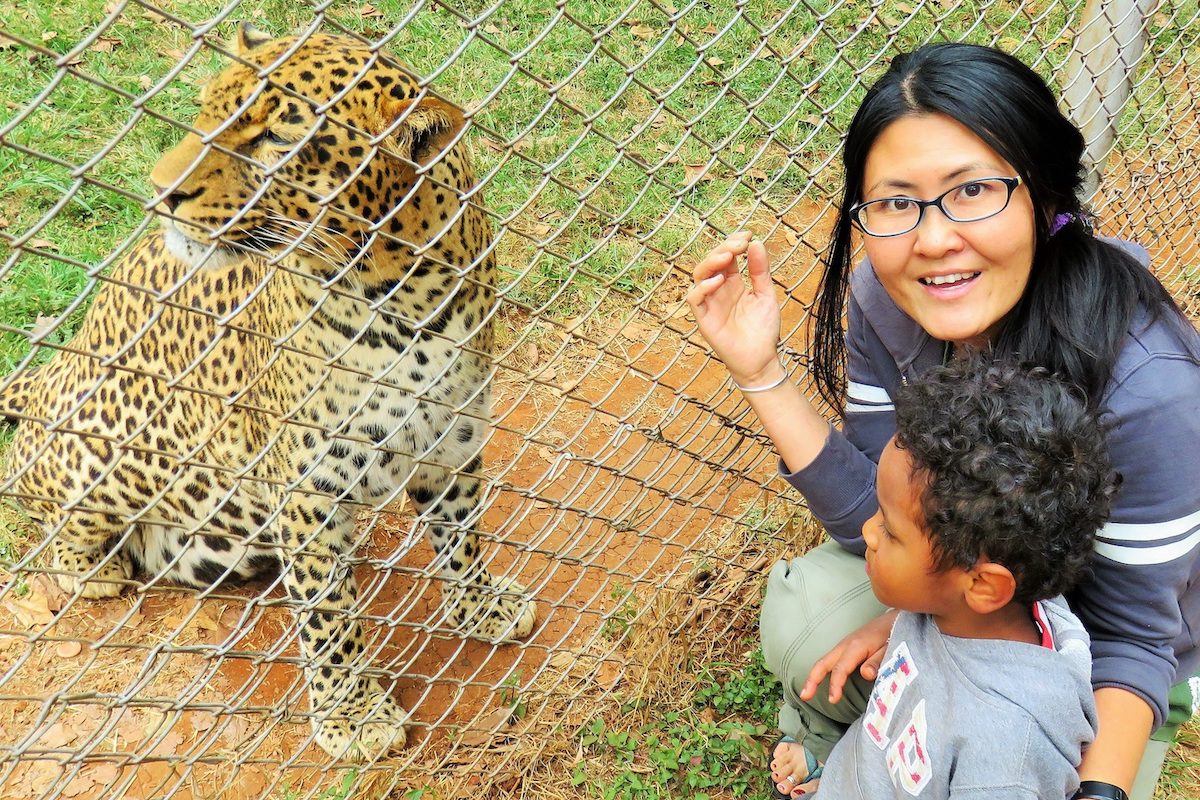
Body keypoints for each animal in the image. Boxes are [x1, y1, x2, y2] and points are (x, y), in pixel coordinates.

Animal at [0, 24, 536, 761]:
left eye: (275, 138)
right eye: (203, 111)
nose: (159, 191)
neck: (406, 301)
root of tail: (54, 369)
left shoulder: (449, 444)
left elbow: (461, 538)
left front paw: (482, 608)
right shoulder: (307, 491)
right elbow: (328, 614)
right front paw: (353, 716)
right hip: (102, 441)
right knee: (46, 493)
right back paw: (92, 566)